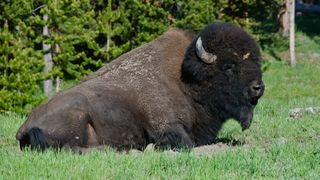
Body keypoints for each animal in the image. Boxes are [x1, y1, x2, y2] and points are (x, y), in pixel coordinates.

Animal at [15, 22, 264, 152]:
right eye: (229, 66)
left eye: (256, 62)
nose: (258, 87)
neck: (186, 82)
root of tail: (24, 126)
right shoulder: (167, 126)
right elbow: (186, 142)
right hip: (76, 116)